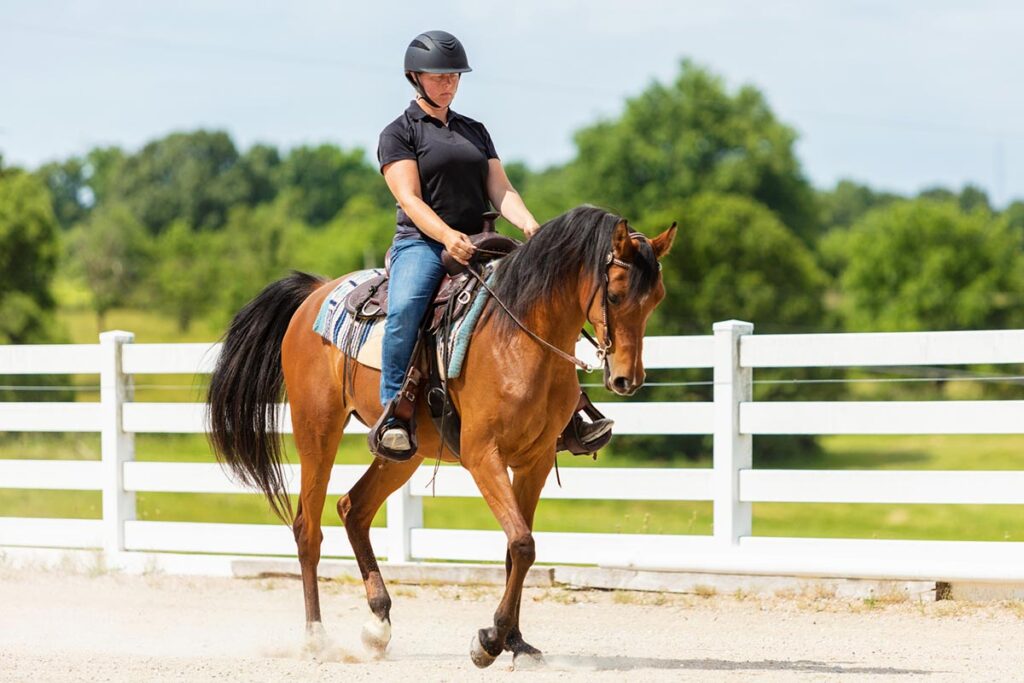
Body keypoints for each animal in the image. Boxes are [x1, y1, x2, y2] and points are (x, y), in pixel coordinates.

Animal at [206, 205, 675, 668]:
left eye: (656, 299)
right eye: (614, 295)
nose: (627, 380)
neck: (517, 336)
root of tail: (317, 293)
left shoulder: (535, 461)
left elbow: (516, 549)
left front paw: (516, 643)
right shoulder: (483, 455)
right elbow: (523, 543)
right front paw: (489, 641)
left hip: (404, 453)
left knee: (353, 508)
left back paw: (378, 626)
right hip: (316, 430)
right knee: (308, 527)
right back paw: (317, 638)